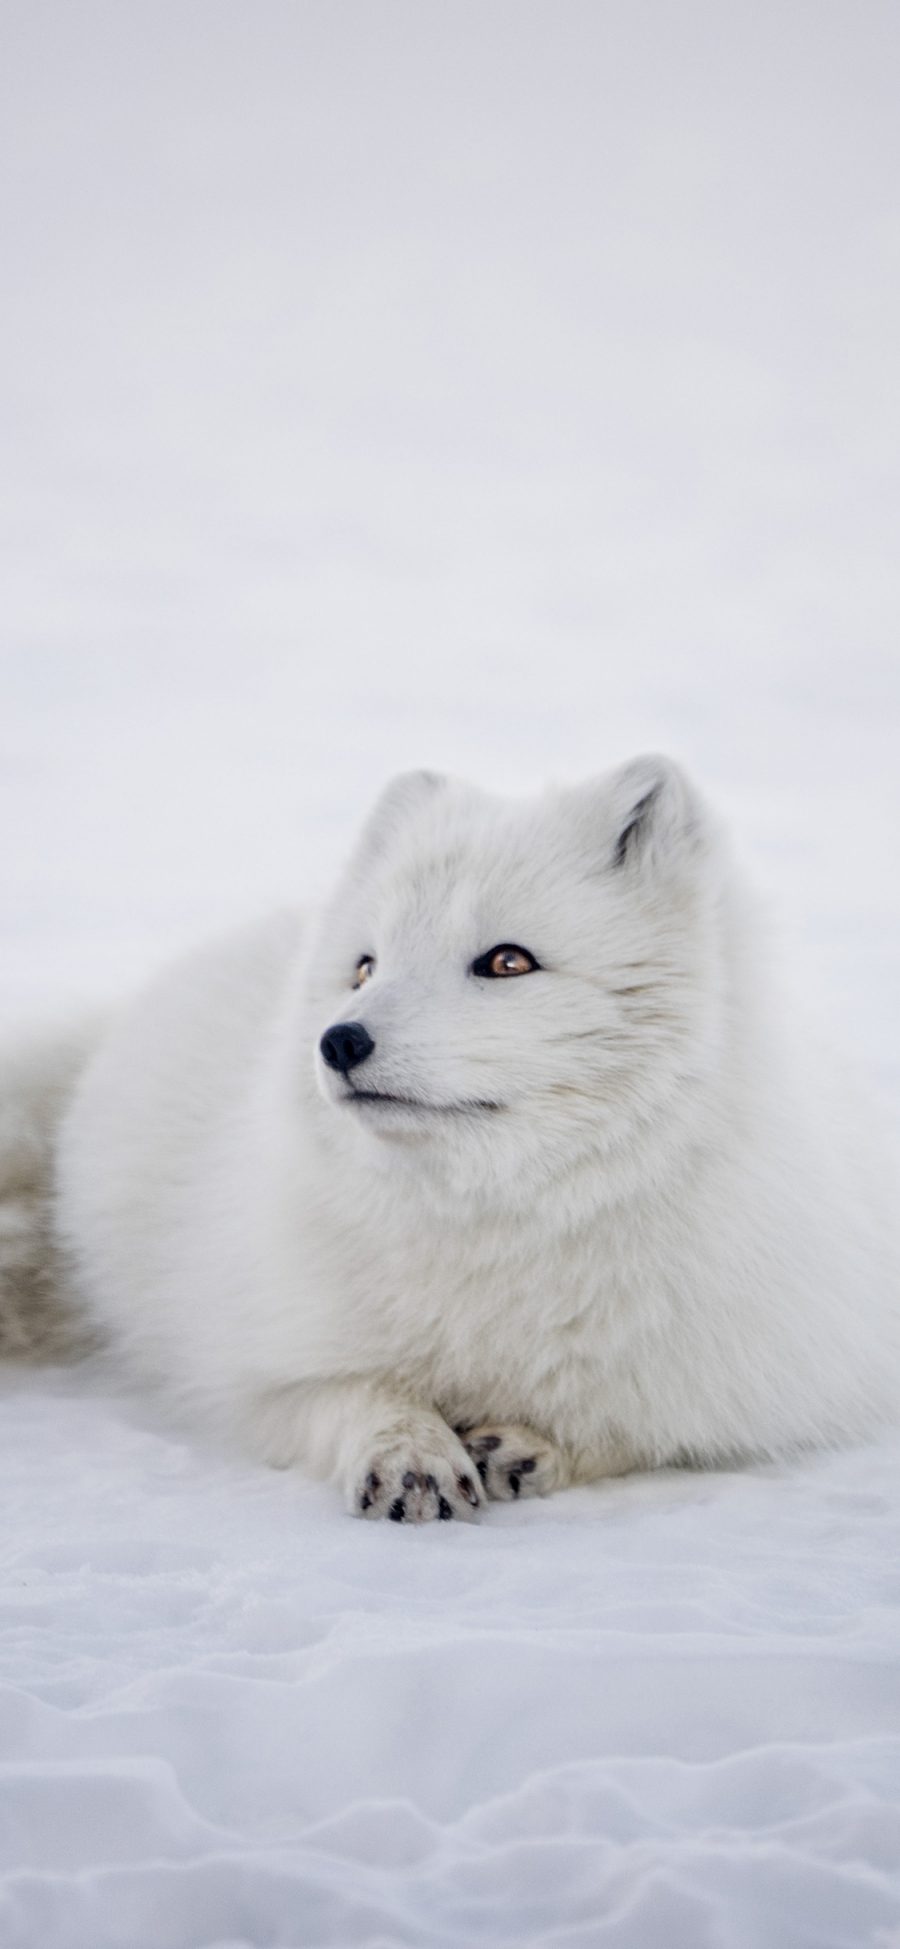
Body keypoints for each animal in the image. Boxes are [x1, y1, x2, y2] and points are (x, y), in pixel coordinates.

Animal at [1, 760, 900, 1520]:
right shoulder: (251, 1366)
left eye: (507, 961)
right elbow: (353, 1390)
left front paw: (533, 1445)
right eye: (364, 967)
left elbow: (643, 1426)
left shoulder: (761, 1377)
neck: (498, 1224)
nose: (338, 1041)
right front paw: (409, 1450)